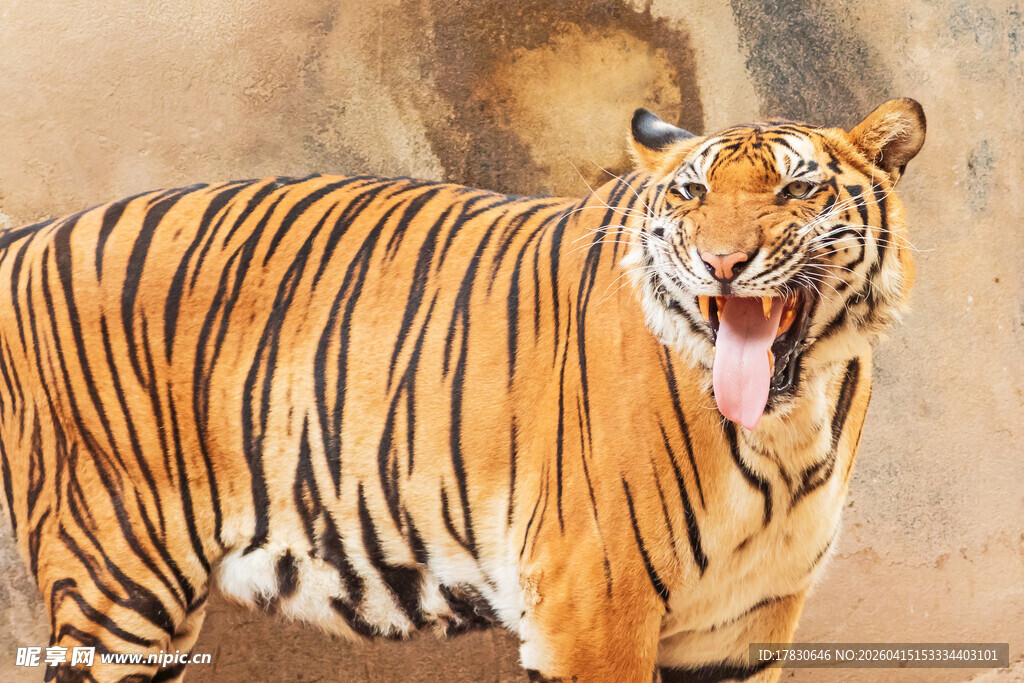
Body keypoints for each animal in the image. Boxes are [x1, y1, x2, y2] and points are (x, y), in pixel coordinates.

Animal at [0, 97, 925, 682]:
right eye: (692, 192)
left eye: (798, 187)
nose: (722, 263)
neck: (788, 427)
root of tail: (32, 233)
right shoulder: (594, 609)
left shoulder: (740, 629)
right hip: (116, 582)